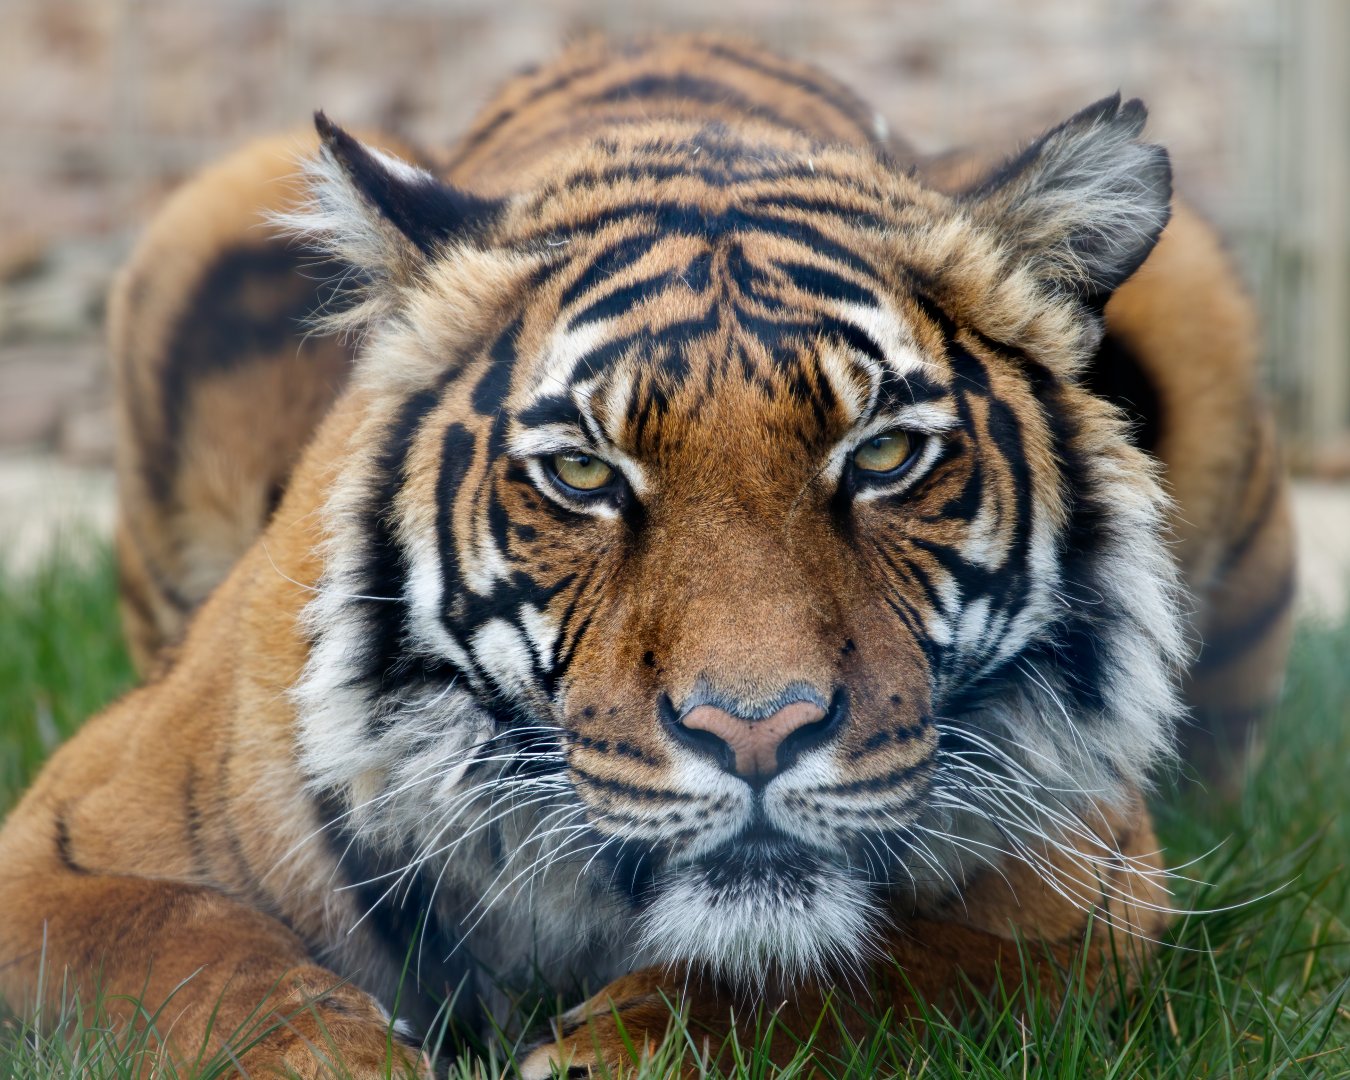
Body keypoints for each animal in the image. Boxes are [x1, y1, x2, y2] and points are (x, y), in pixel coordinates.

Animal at [0, 33, 1294, 1078]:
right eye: (583, 474)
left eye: (882, 456)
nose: (756, 734)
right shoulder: (55, 849)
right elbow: (188, 944)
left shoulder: (1084, 872)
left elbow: (881, 966)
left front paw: (618, 1051)